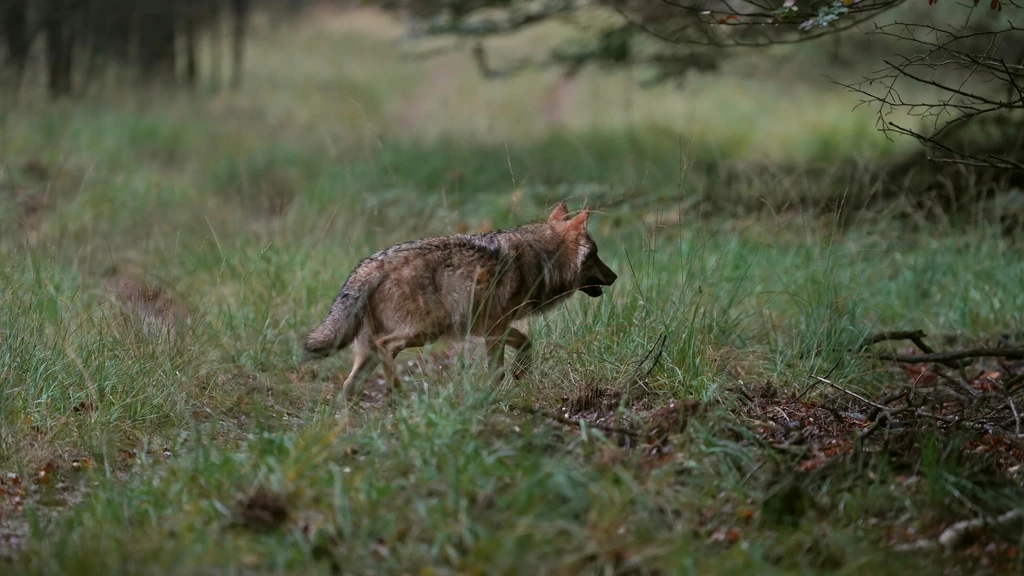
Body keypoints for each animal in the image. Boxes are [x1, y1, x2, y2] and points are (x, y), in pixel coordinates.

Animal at [302, 203, 617, 401]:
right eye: (596, 254)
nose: (614, 276)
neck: (542, 260)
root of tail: (371, 264)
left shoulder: (493, 328)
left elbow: (527, 344)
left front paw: (519, 374)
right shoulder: (494, 331)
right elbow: (498, 371)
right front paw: (492, 396)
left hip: (374, 349)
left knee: (348, 386)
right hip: (427, 331)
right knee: (386, 348)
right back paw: (399, 395)